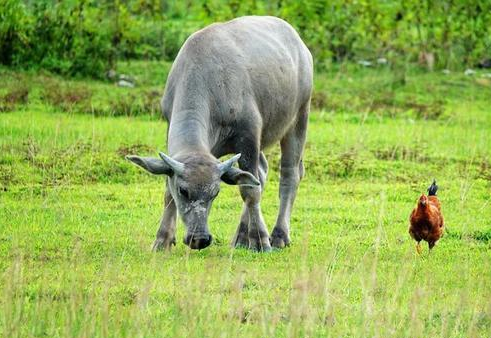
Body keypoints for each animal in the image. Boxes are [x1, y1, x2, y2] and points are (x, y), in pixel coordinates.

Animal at [127, 16, 312, 254]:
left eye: (215, 192)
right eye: (183, 191)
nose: (200, 238)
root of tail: (300, 44)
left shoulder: (249, 136)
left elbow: (249, 191)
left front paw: (260, 239)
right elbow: (167, 193)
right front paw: (163, 239)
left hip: (299, 117)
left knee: (289, 174)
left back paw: (278, 235)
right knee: (260, 173)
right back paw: (240, 237)